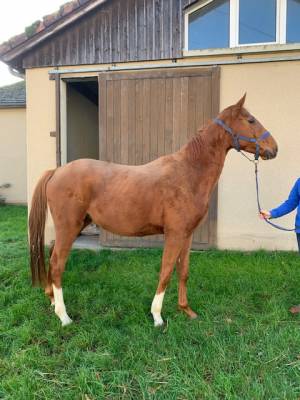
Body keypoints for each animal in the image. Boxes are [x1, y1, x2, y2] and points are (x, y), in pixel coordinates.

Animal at [29, 95, 278, 326]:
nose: (274, 149)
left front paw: (186, 310)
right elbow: (166, 270)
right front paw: (157, 316)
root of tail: (56, 171)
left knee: (52, 258)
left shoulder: (187, 235)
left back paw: (52, 300)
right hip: (69, 228)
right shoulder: (174, 234)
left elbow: (183, 271)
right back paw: (64, 316)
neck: (188, 173)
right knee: (57, 263)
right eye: (251, 120)